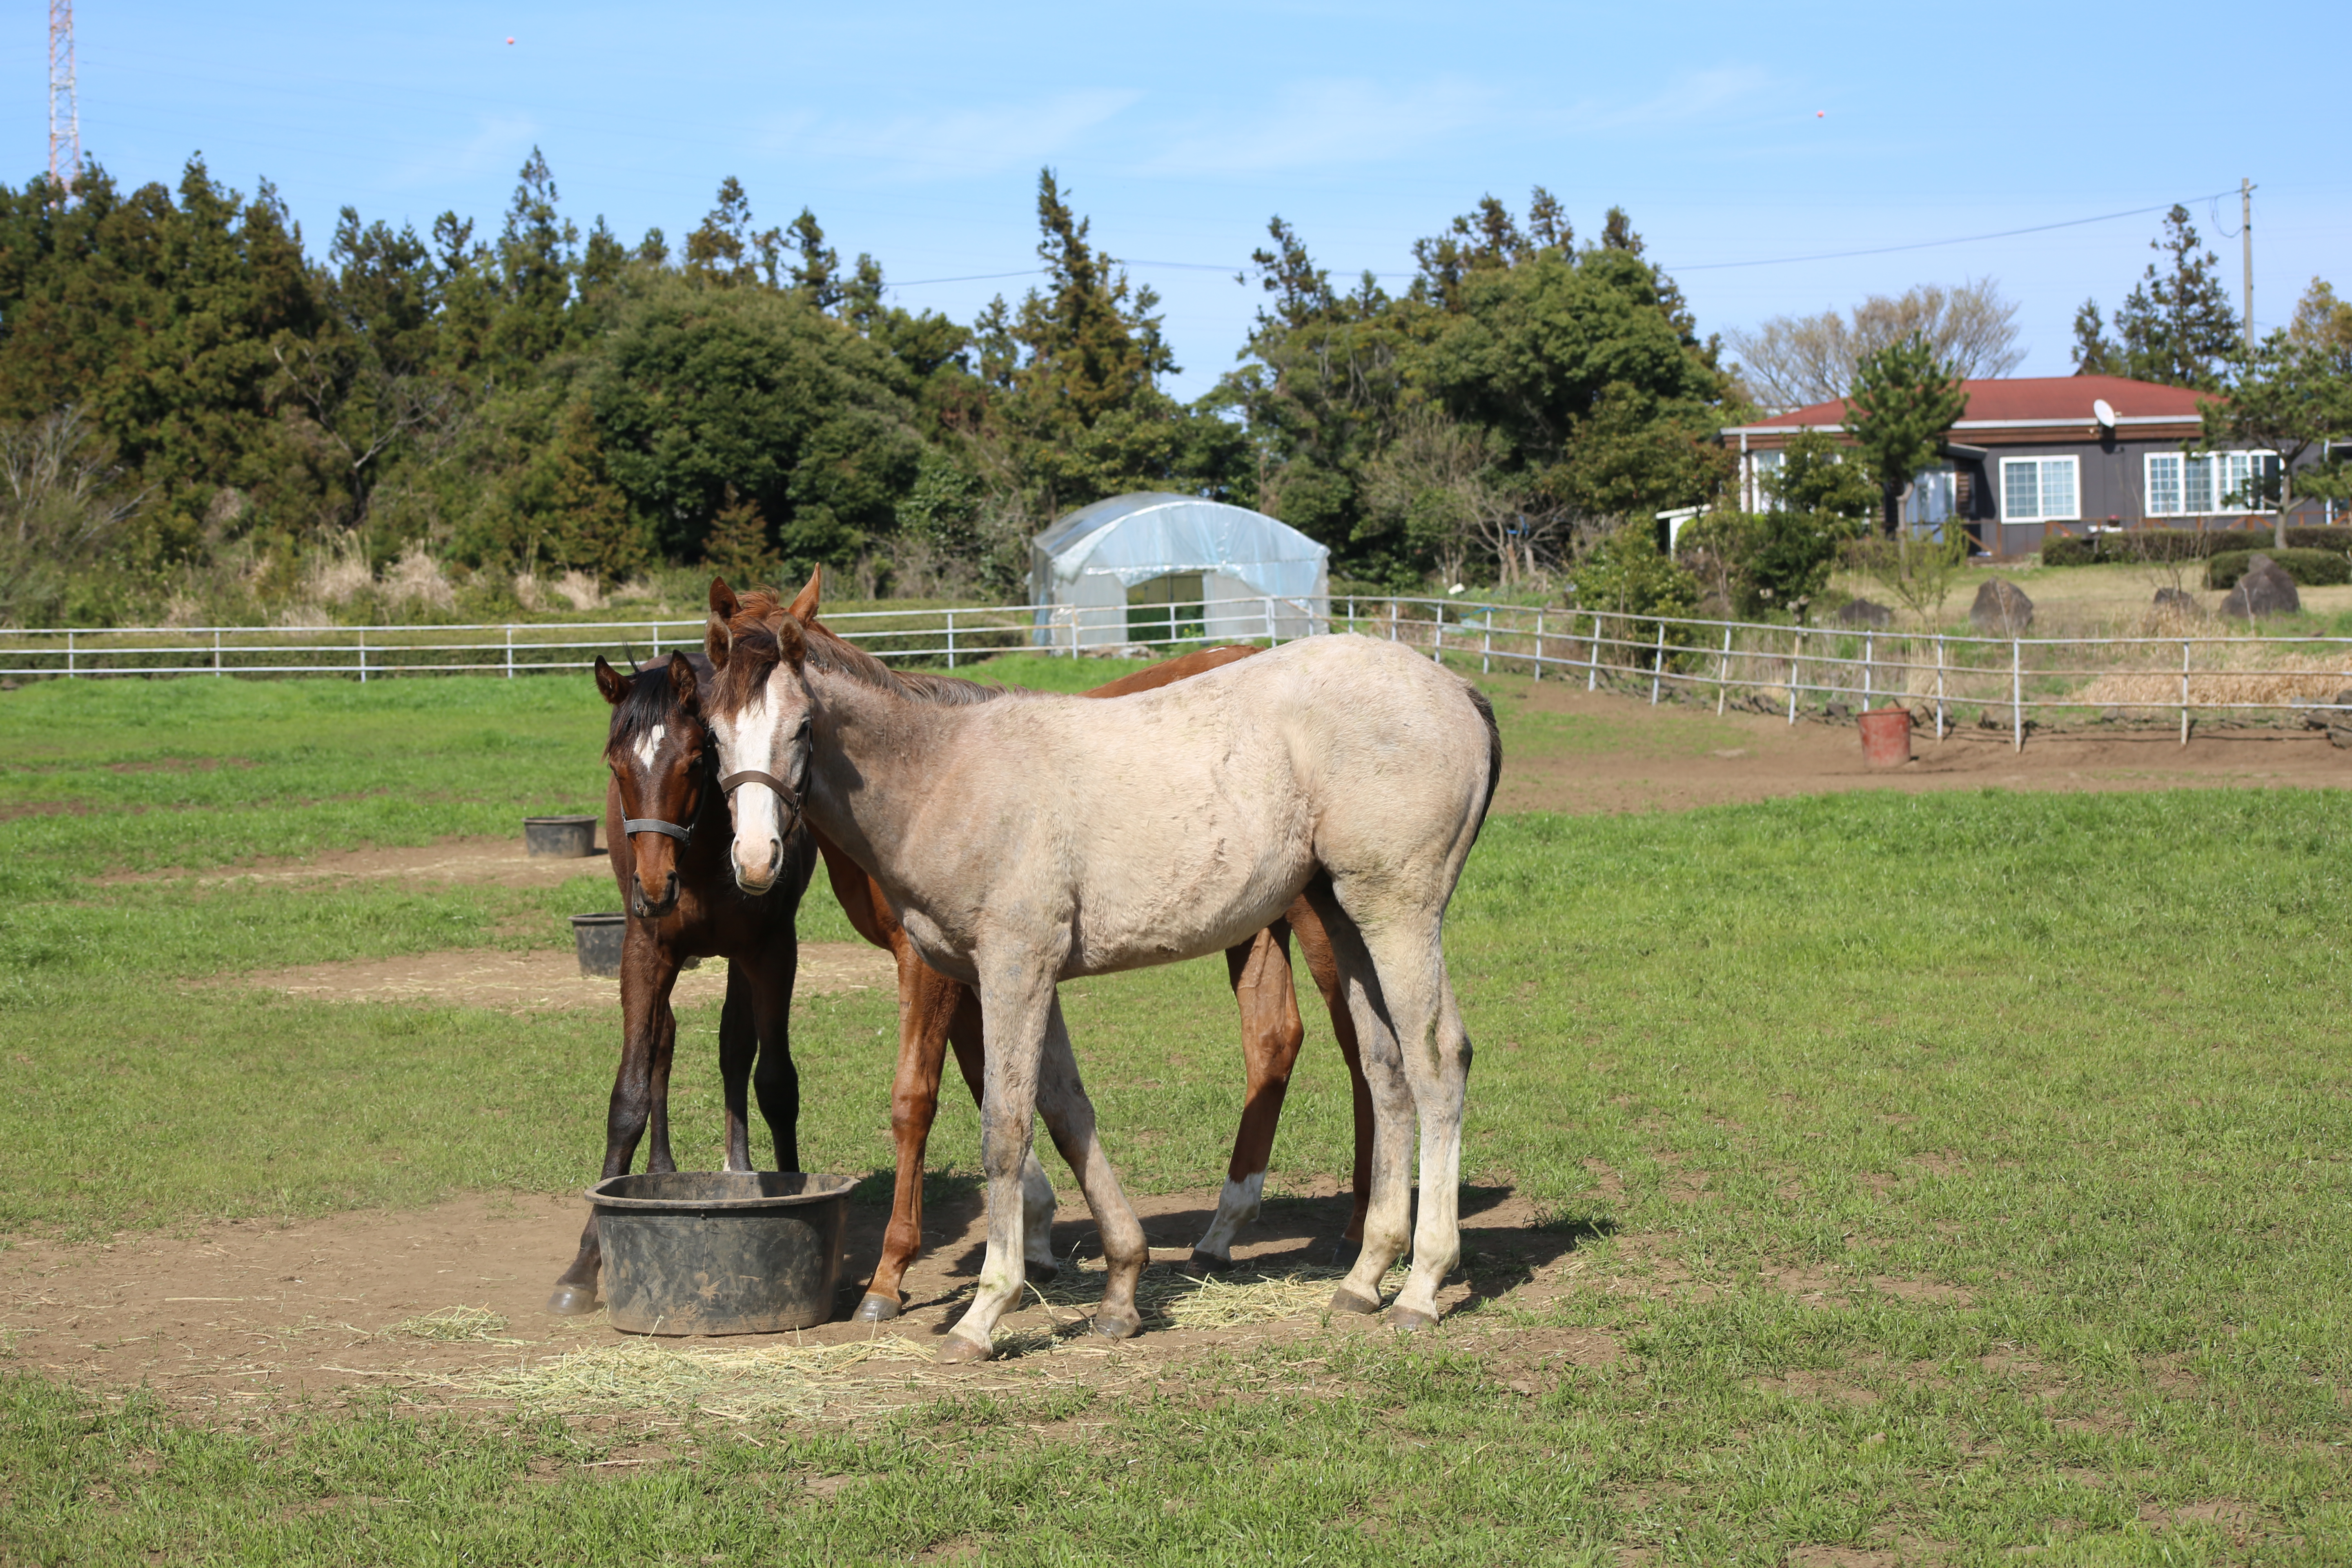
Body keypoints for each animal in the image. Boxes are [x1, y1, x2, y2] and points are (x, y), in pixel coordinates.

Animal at [543, 653, 818, 1326]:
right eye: (617, 766)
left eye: (696, 759)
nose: (652, 882)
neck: (700, 859)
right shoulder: (645, 953)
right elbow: (630, 1096)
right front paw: (585, 1261)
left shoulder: (772, 949)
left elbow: (775, 1082)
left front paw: (793, 1195)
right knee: (664, 1045)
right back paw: (662, 1168)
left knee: (734, 1050)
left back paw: (739, 1168)